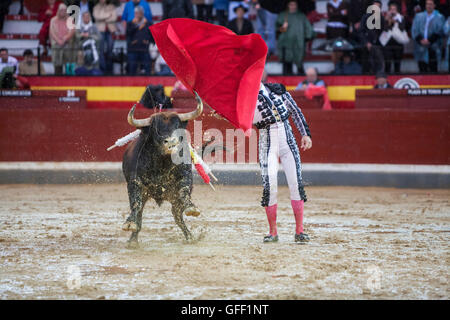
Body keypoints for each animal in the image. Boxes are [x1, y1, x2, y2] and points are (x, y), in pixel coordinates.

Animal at [120, 91, 203, 246]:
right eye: (155, 130)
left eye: (178, 126)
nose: (171, 142)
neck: (163, 162)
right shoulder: (135, 182)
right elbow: (136, 203)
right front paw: (130, 223)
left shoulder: (185, 176)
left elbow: (184, 191)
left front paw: (191, 208)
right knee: (140, 214)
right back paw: (133, 240)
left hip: (173, 199)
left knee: (177, 216)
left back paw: (189, 236)